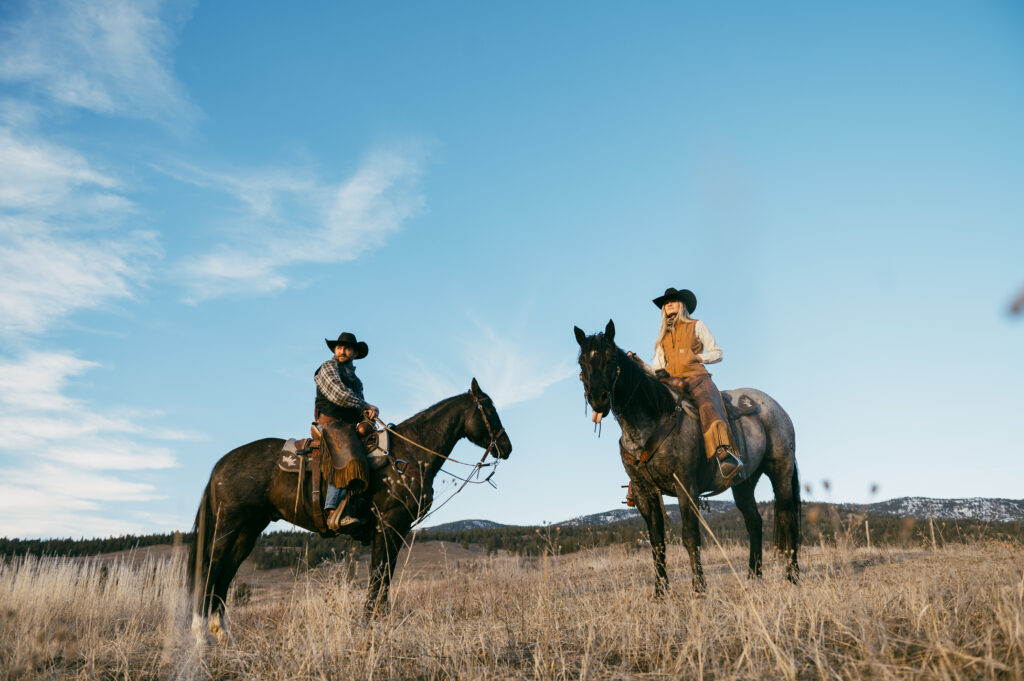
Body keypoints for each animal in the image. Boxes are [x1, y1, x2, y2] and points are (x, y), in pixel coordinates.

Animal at [186, 378, 509, 639]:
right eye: (489, 408)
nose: (506, 447)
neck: (409, 455)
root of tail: (221, 463)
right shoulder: (390, 524)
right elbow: (379, 574)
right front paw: (371, 623)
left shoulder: (396, 529)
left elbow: (384, 575)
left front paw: (376, 621)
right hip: (229, 526)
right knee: (212, 566)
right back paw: (200, 634)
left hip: (249, 530)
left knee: (227, 571)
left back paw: (222, 633)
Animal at [577, 321, 798, 593]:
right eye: (581, 361)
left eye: (611, 358)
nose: (598, 398)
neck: (651, 420)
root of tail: (776, 407)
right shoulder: (644, 492)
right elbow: (657, 541)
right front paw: (660, 592)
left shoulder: (685, 486)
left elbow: (690, 536)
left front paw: (699, 589)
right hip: (744, 483)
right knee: (754, 522)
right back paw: (753, 577)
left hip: (781, 472)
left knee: (788, 519)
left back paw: (792, 576)